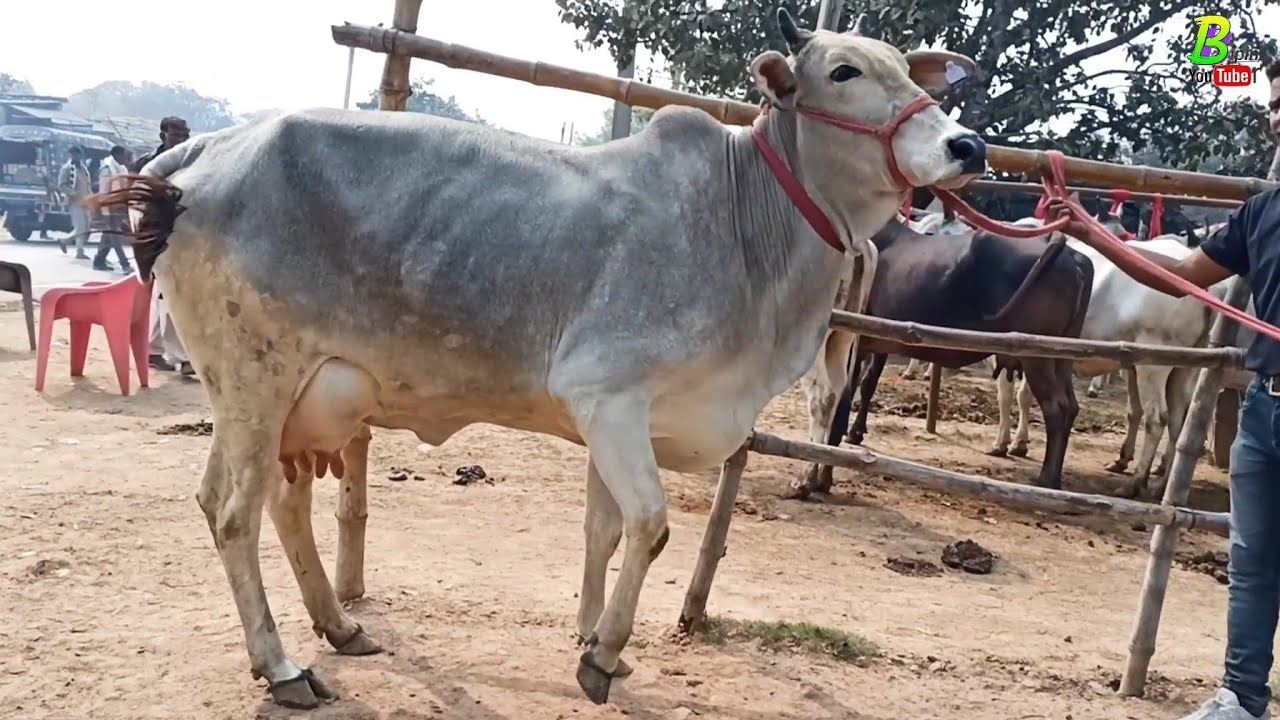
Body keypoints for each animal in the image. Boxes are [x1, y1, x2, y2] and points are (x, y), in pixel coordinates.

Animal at [87, 9, 987, 709]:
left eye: (910, 72)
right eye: (843, 70)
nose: (968, 145)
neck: (745, 218)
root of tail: (199, 155)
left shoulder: (615, 418)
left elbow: (605, 530)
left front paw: (590, 634)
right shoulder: (610, 396)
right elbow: (651, 526)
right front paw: (603, 657)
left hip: (295, 398)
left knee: (280, 504)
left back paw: (338, 627)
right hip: (253, 381)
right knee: (233, 512)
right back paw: (281, 666)